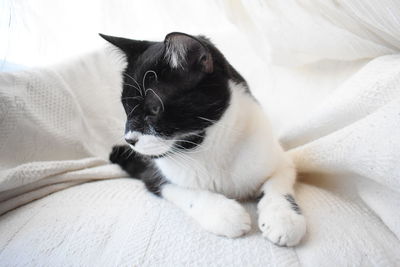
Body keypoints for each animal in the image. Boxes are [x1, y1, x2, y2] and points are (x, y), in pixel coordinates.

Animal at [101, 31, 306, 247]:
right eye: (125, 107)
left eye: (154, 109)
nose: (129, 139)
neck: (208, 147)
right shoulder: (156, 174)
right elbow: (186, 191)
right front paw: (226, 214)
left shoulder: (280, 159)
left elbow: (277, 185)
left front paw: (283, 218)